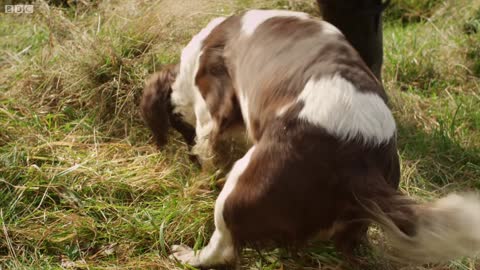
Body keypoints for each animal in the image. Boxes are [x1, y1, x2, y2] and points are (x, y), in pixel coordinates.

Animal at [141, 9, 480, 268]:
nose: (188, 159)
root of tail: (357, 161)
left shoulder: (210, 110)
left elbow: (209, 142)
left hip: (244, 183)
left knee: (223, 247)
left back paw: (187, 255)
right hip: (355, 225)